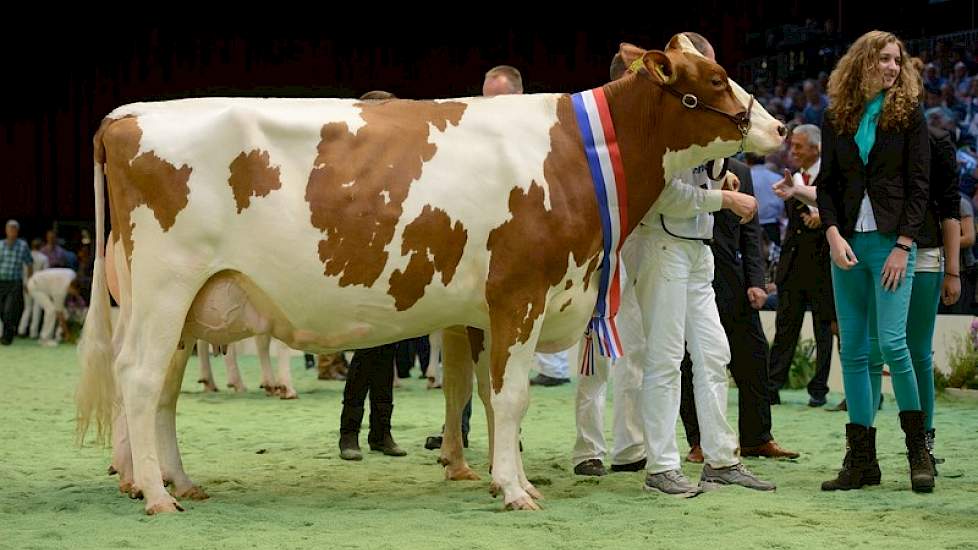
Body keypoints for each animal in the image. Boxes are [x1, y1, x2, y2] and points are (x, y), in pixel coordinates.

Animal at [76, 35, 780, 516]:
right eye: (717, 77)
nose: (774, 126)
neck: (575, 154)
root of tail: (128, 115)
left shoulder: (488, 310)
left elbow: (486, 399)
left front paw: (505, 477)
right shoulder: (520, 293)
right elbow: (511, 397)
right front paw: (515, 491)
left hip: (183, 301)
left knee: (162, 392)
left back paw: (177, 480)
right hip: (165, 287)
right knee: (139, 380)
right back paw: (157, 496)